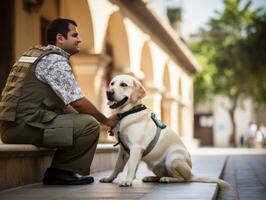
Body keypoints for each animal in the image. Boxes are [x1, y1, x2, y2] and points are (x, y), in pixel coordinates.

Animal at [100, 74, 231, 190]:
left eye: (123, 84)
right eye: (112, 83)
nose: (108, 92)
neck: (127, 113)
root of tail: (191, 173)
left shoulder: (136, 148)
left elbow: (131, 166)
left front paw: (127, 181)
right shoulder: (123, 149)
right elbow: (117, 166)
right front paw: (109, 178)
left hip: (173, 159)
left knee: (183, 179)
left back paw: (167, 179)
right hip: (156, 166)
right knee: (166, 174)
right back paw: (151, 178)